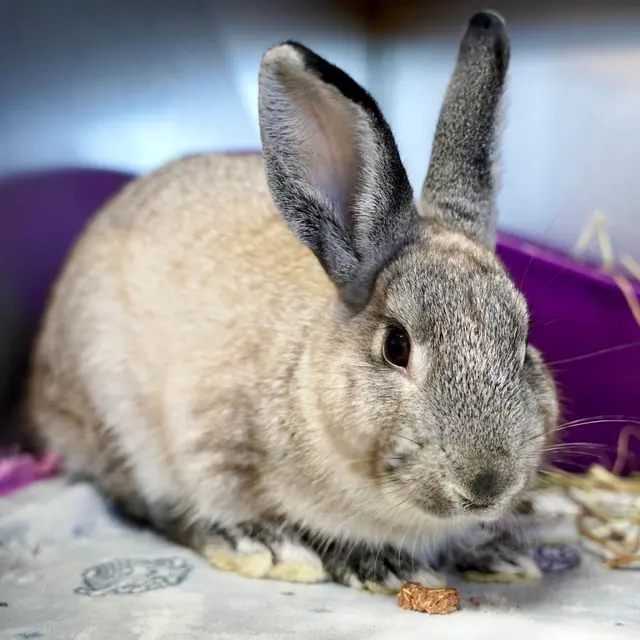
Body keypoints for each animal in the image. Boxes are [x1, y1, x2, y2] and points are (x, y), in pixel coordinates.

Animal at [27, 10, 558, 592]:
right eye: (396, 346)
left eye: (524, 344)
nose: (486, 485)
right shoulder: (209, 442)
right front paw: (351, 560)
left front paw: (499, 553)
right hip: (112, 421)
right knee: (141, 502)